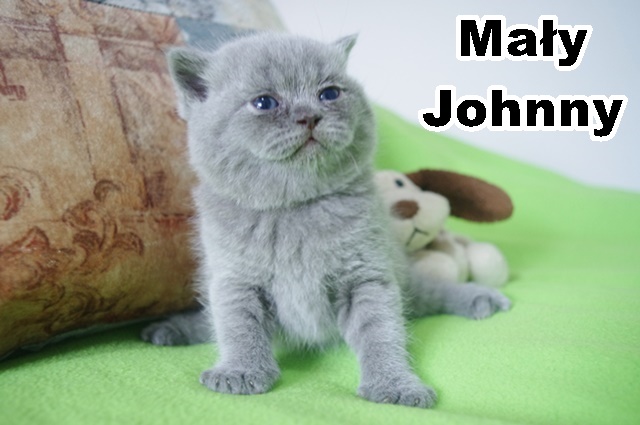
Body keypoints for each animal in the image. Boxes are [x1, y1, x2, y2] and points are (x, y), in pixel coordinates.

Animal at [141, 32, 510, 408]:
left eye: (329, 93)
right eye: (264, 102)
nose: (309, 116)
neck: (293, 207)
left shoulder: (367, 275)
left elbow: (382, 331)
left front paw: (395, 384)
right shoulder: (234, 278)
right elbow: (237, 325)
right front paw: (240, 371)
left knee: (425, 293)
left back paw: (479, 298)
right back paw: (169, 329)